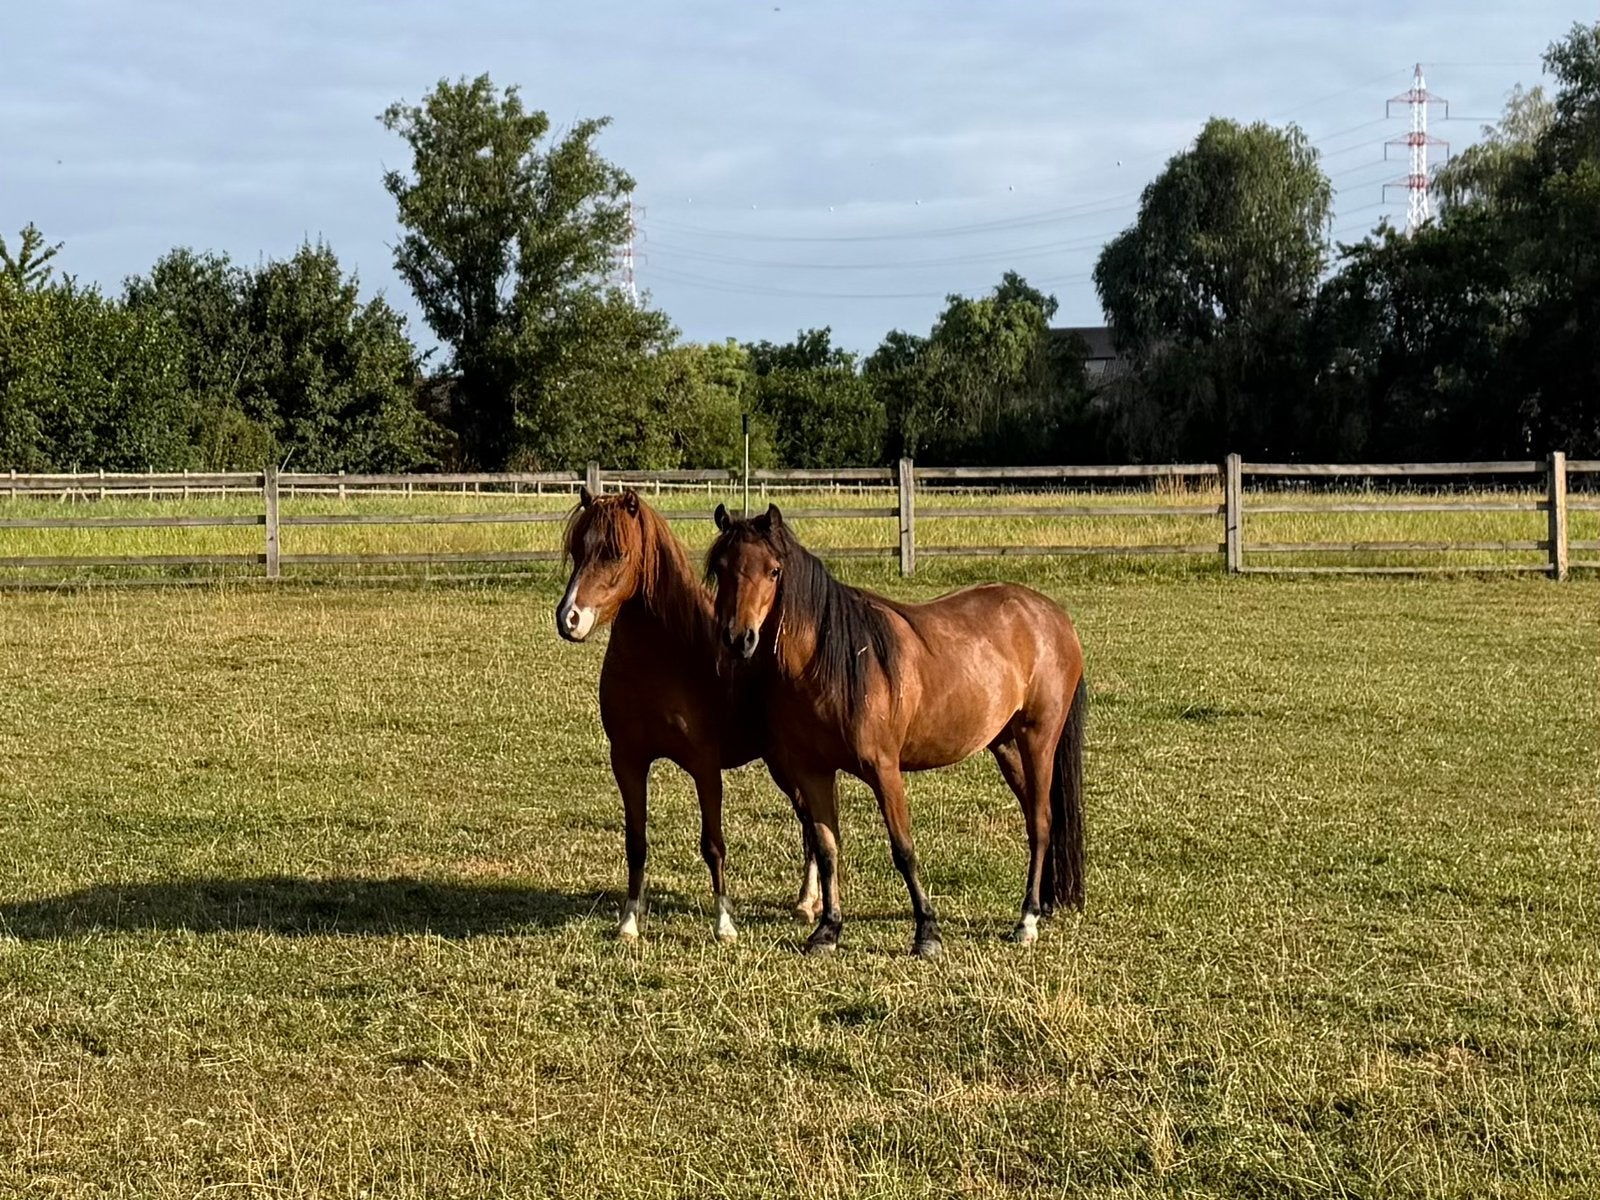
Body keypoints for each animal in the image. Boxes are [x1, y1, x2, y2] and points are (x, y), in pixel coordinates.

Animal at [556, 487, 818, 942]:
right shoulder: (627, 761)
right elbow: (636, 842)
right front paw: (629, 922)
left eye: (616, 553)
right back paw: (807, 901)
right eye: (577, 550)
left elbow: (713, 844)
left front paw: (724, 924)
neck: (668, 658)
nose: (568, 619)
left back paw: (808, 903)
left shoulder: (704, 766)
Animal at [706, 503, 1087, 958]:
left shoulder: (884, 769)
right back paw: (1041, 905)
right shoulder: (813, 772)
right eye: (721, 567)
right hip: (1007, 746)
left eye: (773, 570)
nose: (738, 639)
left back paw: (1026, 920)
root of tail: (1052, 616)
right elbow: (826, 847)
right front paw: (828, 930)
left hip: (1038, 739)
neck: (833, 665)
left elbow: (903, 850)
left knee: (1042, 822)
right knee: (1035, 816)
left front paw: (927, 932)